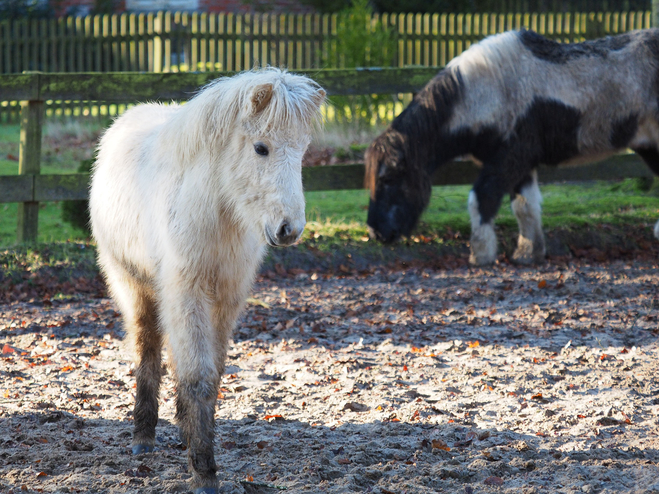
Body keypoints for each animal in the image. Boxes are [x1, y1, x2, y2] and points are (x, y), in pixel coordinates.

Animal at [89, 68, 326, 494]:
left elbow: (211, 374)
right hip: (133, 285)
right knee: (147, 348)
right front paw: (203, 472)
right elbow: (196, 375)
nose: (289, 230)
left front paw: (197, 448)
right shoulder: (187, 292)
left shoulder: (227, 297)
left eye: (302, 150)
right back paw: (143, 437)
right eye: (261, 148)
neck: (217, 208)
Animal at [364, 28, 659, 264]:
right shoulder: (520, 165)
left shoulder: (510, 159)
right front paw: (529, 254)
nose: (375, 232)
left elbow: (481, 199)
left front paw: (481, 255)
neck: (484, 94)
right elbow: (524, 207)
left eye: (389, 179)